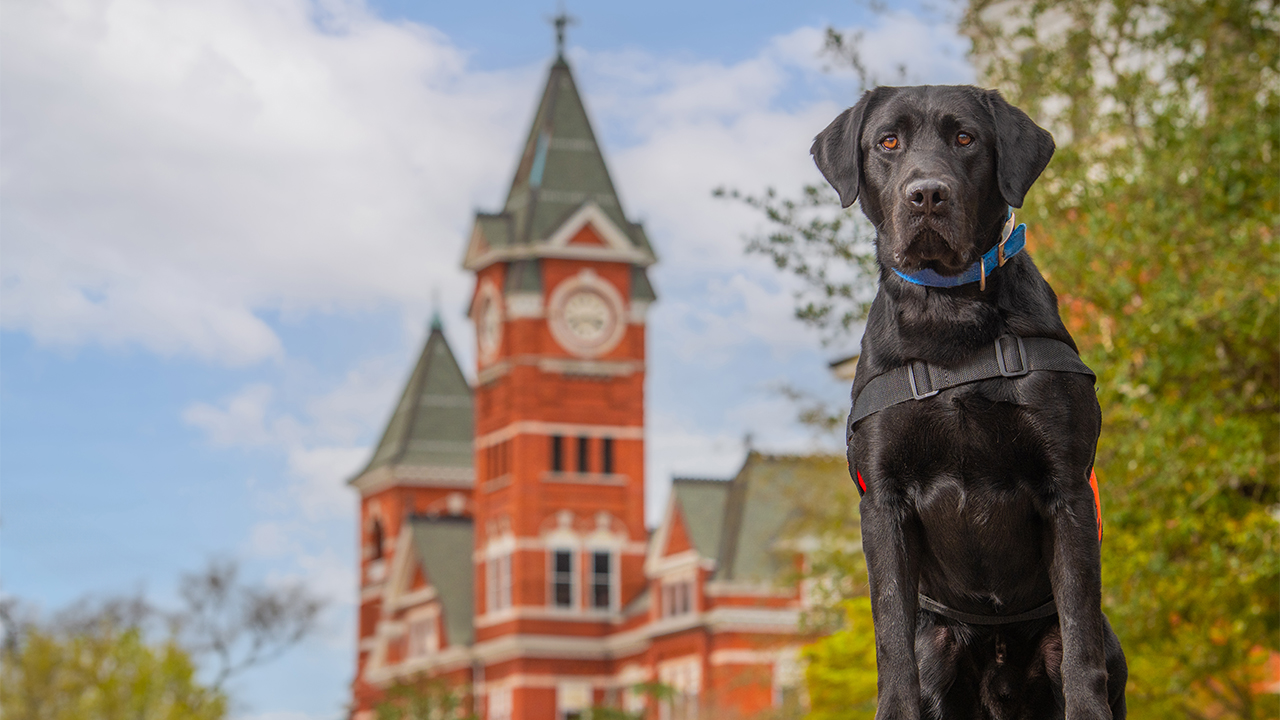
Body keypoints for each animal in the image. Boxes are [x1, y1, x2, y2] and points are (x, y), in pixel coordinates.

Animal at [814, 85, 1126, 717]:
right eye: (888, 141)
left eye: (965, 138)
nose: (927, 194)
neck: (950, 315)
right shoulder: (882, 502)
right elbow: (890, 638)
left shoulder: (1067, 490)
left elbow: (1079, 633)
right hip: (937, 646)